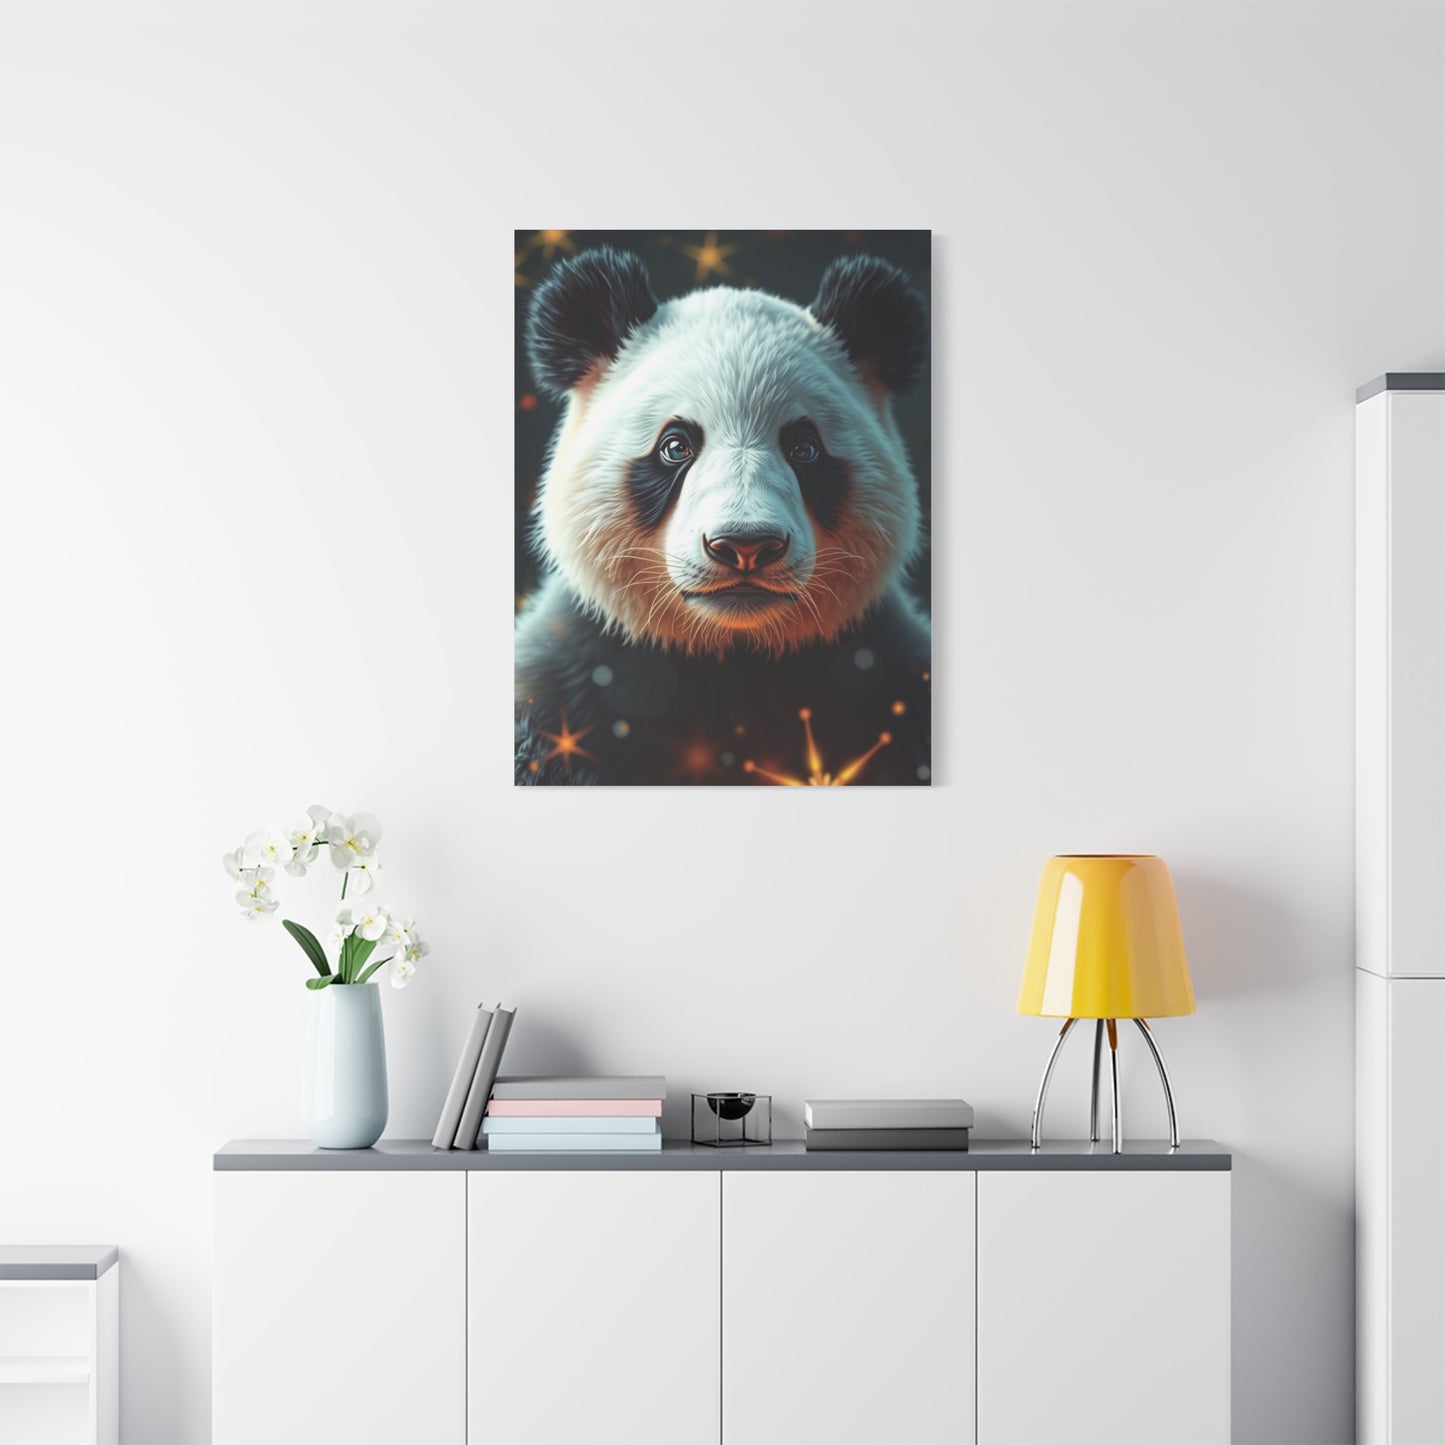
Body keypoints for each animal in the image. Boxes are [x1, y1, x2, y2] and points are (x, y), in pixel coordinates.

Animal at [515, 246, 930, 786]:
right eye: (675, 446)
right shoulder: (567, 692)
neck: (730, 659)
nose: (746, 546)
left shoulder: (889, 683)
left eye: (804, 448)